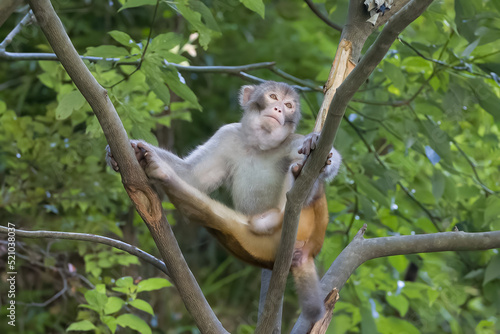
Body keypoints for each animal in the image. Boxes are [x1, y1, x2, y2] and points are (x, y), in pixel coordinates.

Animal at [107, 80, 342, 320]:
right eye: (273, 97)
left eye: (289, 106)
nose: (278, 109)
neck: (259, 147)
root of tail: (309, 251)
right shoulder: (227, 135)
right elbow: (192, 176)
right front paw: (134, 153)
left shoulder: (291, 142)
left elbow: (326, 159)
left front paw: (314, 144)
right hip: (256, 246)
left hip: (309, 223)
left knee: (306, 184)